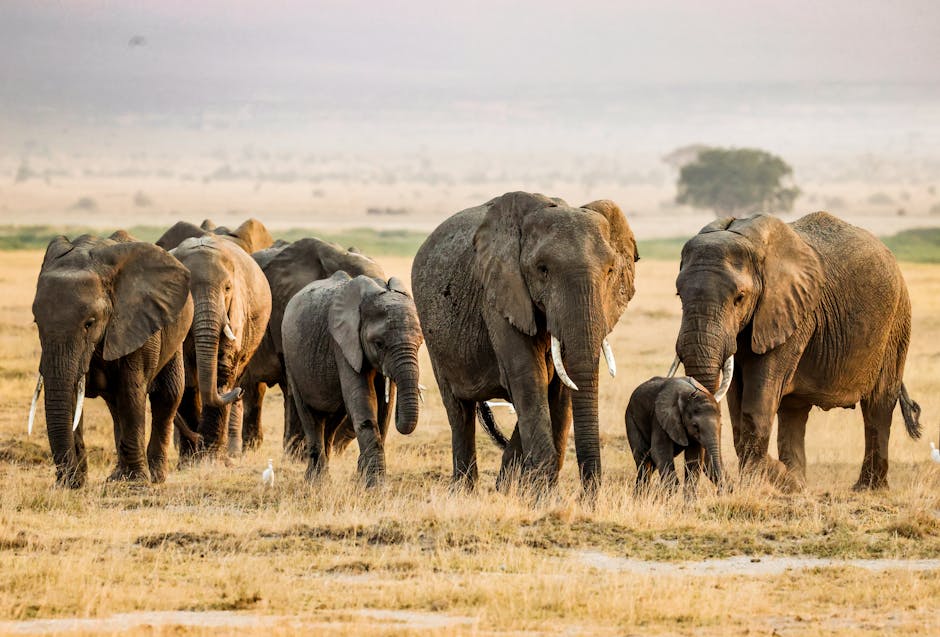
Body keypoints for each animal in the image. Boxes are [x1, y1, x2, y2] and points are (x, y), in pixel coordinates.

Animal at [30, 232, 193, 487]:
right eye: (37, 322)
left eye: (89, 323)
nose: (66, 481)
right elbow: (73, 397)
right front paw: (75, 484)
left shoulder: (134, 323)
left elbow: (131, 393)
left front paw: (136, 485)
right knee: (116, 406)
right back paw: (117, 477)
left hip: (174, 333)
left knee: (167, 395)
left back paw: (155, 477)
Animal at [170, 234, 272, 460]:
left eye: (227, 288)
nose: (239, 392)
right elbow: (186, 374)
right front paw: (190, 460)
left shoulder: (236, 309)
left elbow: (223, 367)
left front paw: (208, 457)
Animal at [281, 271, 422, 486]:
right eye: (379, 343)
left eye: (420, 342)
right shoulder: (342, 344)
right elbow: (362, 398)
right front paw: (375, 486)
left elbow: (384, 409)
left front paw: (365, 479)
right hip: (291, 360)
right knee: (310, 416)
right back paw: (317, 482)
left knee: (332, 420)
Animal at [412, 191, 638, 494]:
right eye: (543, 270)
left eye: (610, 270)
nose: (587, 498)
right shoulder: (499, 294)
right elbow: (528, 377)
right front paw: (542, 496)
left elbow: (559, 387)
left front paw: (535, 493)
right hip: (433, 334)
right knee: (459, 411)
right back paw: (463, 491)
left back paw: (501, 486)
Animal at [672, 212, 921, 491]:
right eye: (679, 295)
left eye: (740, 298)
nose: (728, 485)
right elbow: (737, 402)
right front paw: (784, 482)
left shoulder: (794, 314)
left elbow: (756, 405)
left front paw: (767, 481)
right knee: (794, 411)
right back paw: (799, 481)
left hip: (896, 323)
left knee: (878, 406)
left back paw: (866, 488)